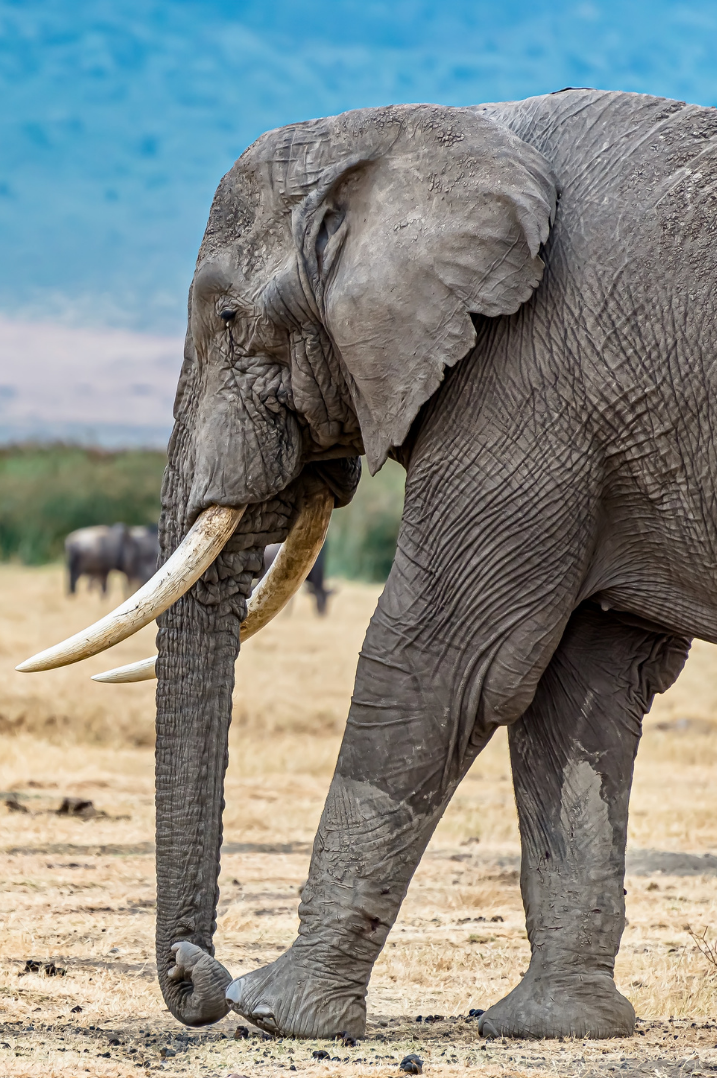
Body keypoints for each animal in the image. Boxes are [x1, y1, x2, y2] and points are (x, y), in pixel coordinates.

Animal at [20, 87, 717, 1040]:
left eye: (227, 317)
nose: (193, 969)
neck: (447, 127)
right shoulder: (593, 416)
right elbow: (580, 690)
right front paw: (554, 1025)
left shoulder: (531, 380)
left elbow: (443, 661)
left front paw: (276, 1010)